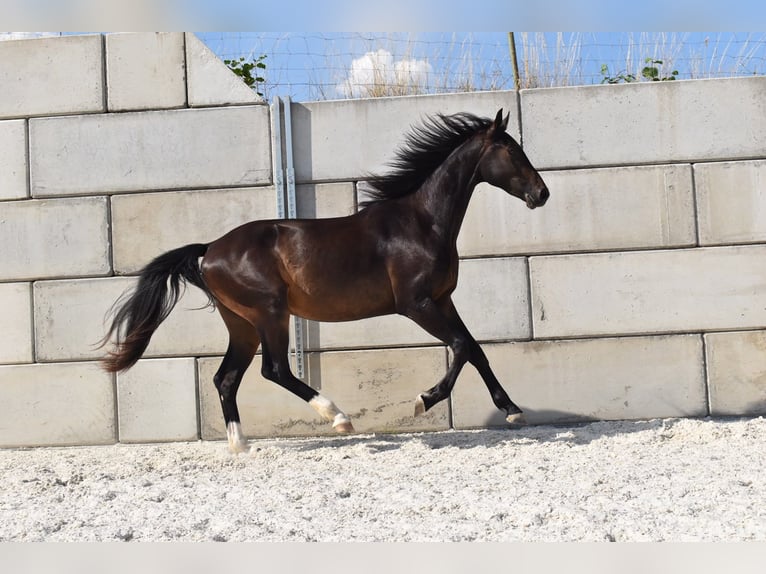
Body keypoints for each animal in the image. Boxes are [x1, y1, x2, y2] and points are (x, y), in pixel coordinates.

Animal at [101, 108, 549, 453]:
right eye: (511, 150)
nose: (542, 194)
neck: (422, 222)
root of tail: (210, 248)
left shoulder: (443, 300)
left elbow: (475, 349)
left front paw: (513, 410)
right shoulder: (416, 304)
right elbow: (459, 345)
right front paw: (423, 401)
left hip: (242, 324)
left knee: (226, 378)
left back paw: (241, 445)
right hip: (270, 313)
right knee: (275, 370)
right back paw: (339, 418)